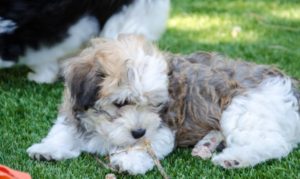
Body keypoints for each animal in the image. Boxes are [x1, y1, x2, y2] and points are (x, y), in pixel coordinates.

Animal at [27, 34, 298, 174]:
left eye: (155, 105)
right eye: (121, 103)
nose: (139, 131)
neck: (102, 128)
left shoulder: (162, 129)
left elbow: (147, 147)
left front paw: (128, 161)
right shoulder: (74, 111)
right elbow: (63, 131)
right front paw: (48, 149)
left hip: (243, 109)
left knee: (274, 144)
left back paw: (234, 159)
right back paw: (206, 145)